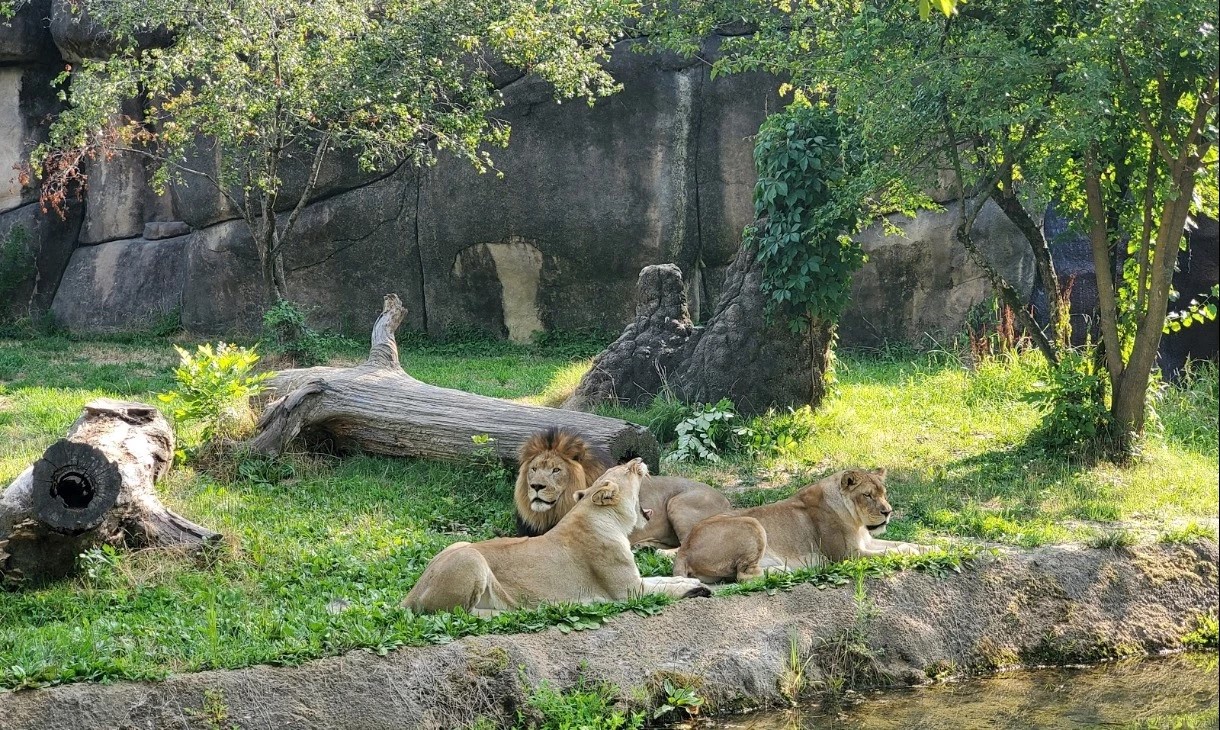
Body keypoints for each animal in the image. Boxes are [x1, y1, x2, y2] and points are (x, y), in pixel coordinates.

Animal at [400, 461, 712, 615]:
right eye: (627, 469)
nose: (639, 459)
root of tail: (411, 595)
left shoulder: (635, 581)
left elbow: (662, 580)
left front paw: (688, 582)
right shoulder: (628, 593)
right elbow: (661, 590)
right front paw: (694, 589)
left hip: (458, 545)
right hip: (471, 558)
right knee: (456, 614)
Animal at [517, 429, 732, 549]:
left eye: (556, 470)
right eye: (534, 469)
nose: (536, 486)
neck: (553, 511)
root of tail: (729, 504)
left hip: (678, 503)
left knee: (685, 545)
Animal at [673, 471, 927, 585]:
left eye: (884, 493)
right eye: (867, 495)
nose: (888, 512)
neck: (857, 522)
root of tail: (683, 549)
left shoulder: (867, 541)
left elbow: (904, 543)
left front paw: (931, 547)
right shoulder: (847, 555)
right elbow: (894, 550)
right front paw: (913, 553)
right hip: (752, 523)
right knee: (745, 576)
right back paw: (800, 570)